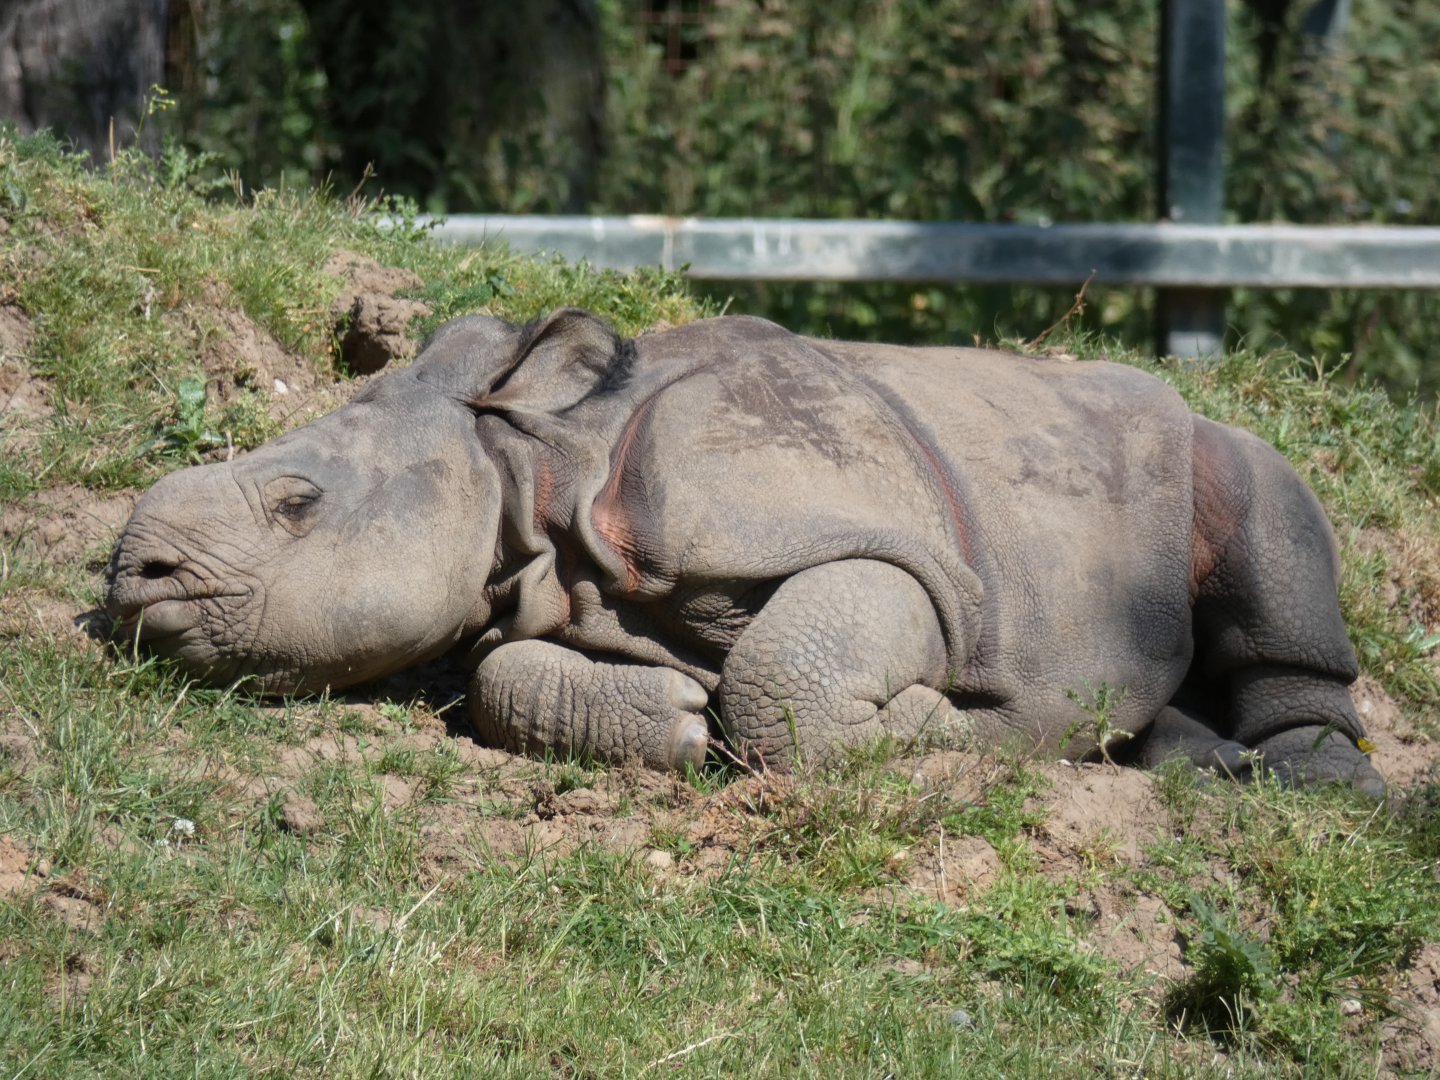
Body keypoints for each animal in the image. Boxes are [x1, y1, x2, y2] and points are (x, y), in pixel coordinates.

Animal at [105, 308, 1382, 792]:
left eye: (296, 503)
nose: (132, 580)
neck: (540, 468)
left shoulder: (889, 550)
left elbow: (792, 669)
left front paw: (951, 726)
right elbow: (499, 675)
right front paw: (676, 715)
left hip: (1204, 446)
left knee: (1263, 492)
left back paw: (1314, 780)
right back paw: (1185, 761)